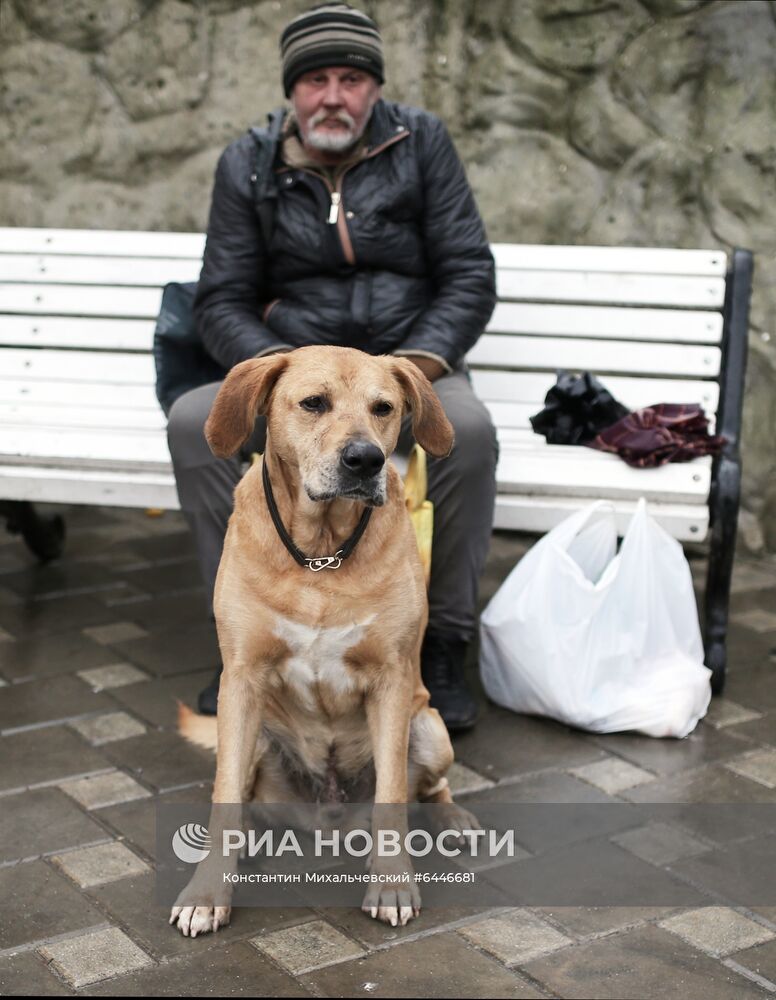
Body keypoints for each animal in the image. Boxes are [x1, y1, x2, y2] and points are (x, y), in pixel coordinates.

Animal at [169, 346, 472, 936]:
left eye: (384, 408)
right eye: (313, 403)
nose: (365, 460)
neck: (320, 550)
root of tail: (326, 818)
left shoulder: (392, 681)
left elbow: (394, 795)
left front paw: (392, 883)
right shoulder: (240, 680)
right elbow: (223, 797)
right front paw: (207, 891)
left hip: (428, 725)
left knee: (430, 787)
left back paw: (455, 819)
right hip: (258, 737)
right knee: (245, 795)